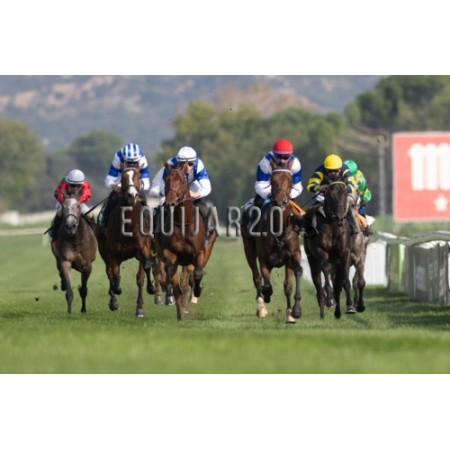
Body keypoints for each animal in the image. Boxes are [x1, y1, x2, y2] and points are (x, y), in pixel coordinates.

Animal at [96, 167, 158, 317]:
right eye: (123, 177)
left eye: (138, 176)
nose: (131, 195)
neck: (128, 225)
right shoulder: (112, 253)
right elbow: (114, 275)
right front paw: (116, 292)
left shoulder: (143, 248)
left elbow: (143, 272)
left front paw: (149, 292)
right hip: (103, 250)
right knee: (109, 273)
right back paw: (113, 301)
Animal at [153, 161, 217, 321]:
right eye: (166, 180)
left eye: (182, 181)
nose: (170, 203)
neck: (183, 224)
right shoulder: (170, 253)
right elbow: (171, 280)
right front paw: (176, 306)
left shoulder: (199, 252)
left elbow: (197, 274)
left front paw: (197, 291)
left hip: (208, 249)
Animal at [241, 160, 303, 323]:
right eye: (272, 180)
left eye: (290, 180)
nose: (280, 201)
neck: (279, 229)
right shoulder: (264, 259)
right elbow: (267, 285)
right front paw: (266, 297)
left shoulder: (292, 256)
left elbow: (290, 283)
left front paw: (293, 312)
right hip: (248, 249)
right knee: (257, 277)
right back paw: (261, 307)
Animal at [303, 181, 356, 319]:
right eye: (330, 196)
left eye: (344, 195)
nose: (340, 217)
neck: (333, 226)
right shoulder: (320, 251)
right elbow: (326, 272)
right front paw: (330, 300)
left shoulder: (345, 252)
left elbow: (345, 279)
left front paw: (350, 305)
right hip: (312, 258)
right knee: (317, 281)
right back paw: (324, 301)